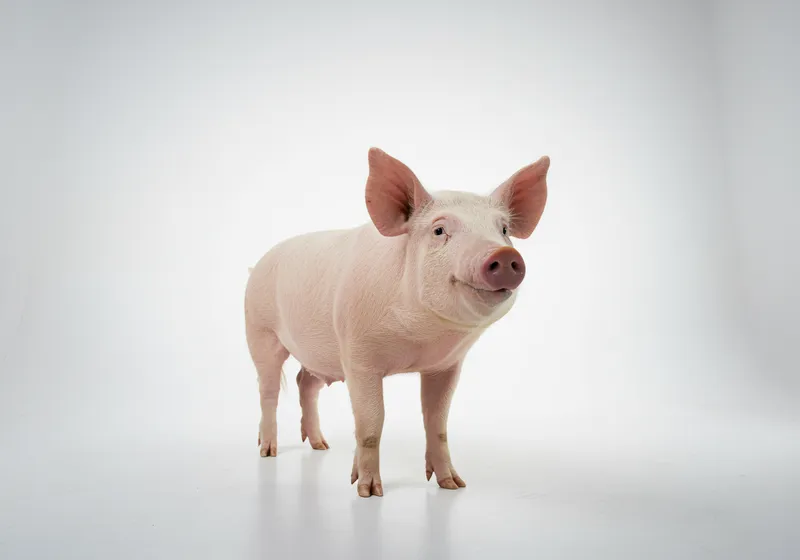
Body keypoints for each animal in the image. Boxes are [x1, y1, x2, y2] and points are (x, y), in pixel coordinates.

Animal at [244, 148, 549, 497]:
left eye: (503, 229)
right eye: (439, 231)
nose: (502, 255)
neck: (420, 339)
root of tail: (258, 264)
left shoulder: (446, 365)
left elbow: (437, 422)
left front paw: (452, 485)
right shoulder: (359, 357)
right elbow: (371, 422)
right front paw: (368, 492)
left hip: (322, 353)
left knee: (304, 382)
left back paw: (321, 446)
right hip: (260, 331)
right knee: (268, 390)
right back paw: (268, 451)